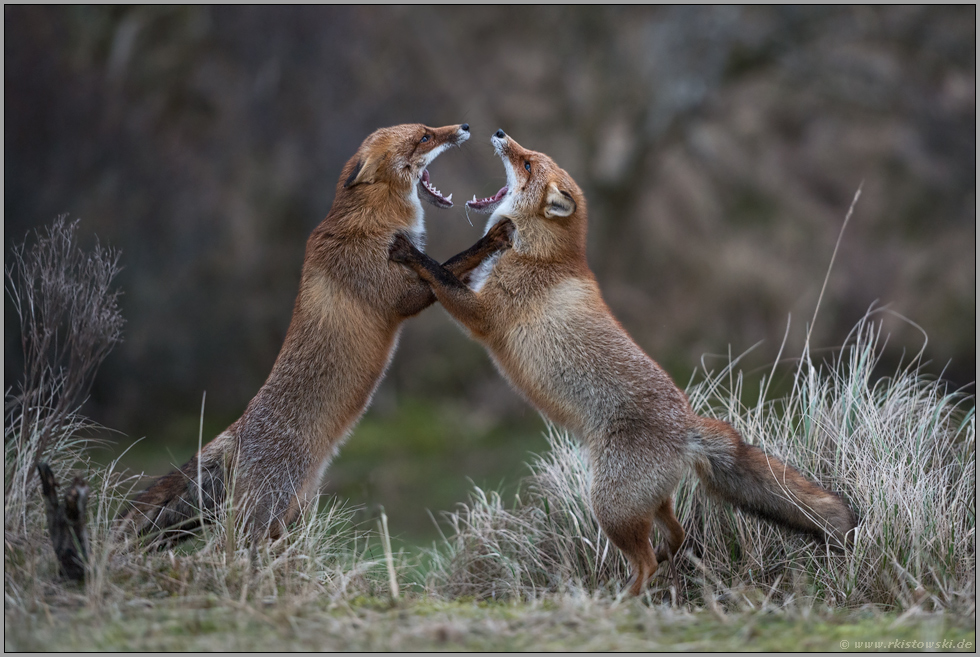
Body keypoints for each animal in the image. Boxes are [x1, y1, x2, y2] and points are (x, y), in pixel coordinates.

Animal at [120, 124, 512, 544]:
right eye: (424, 137)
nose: (463, 127)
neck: (372, 220)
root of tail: (237, 431)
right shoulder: (397, 294)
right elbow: (447, 264)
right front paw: (490, 240)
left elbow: (454, 273)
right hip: (267, 511)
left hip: (294, 510)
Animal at [390, 128, 856, 596]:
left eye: (527, 164)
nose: (501, 133)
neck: (544, 256)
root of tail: (688, 427)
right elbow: (456, 265)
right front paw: (481, 241)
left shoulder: (484, 316)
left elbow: (440, 275)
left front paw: (412, 254)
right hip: (648, 503)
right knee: (677, 535)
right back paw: (664, 565)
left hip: (609, 505)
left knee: (646, 561)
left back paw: (620, 599)